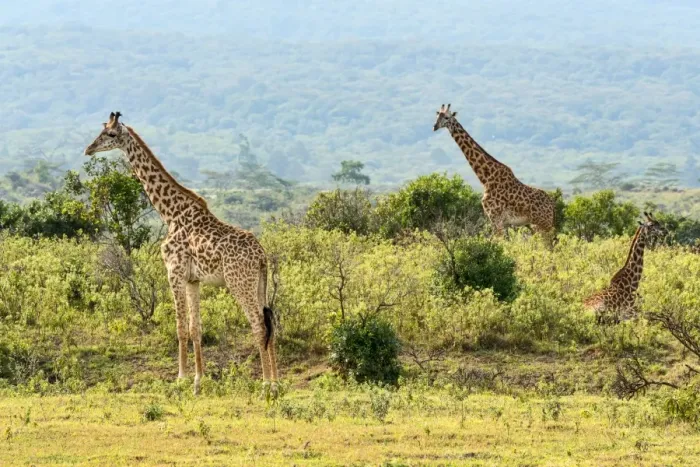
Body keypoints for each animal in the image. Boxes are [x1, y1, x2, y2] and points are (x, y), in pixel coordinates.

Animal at [85, 112, 278, 395]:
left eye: (109, 134)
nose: (88, 149)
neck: (170, 213)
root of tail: (262, 256)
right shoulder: (193, 280)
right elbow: (196, 328)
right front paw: (199, 381)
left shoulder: (173, 272)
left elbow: (180, 327)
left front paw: (181, 378)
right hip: (260, 283)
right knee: (270, 321)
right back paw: (277, 381)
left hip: (239, 283)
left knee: (258, 324)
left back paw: (266, 385)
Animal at [433, 104, 556, 241]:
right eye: (437, 115)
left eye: (447, 117)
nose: (435, 126)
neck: (486, 178)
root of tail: (552, 204)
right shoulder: (501, 222)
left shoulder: (496, 218)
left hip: (542, 224)